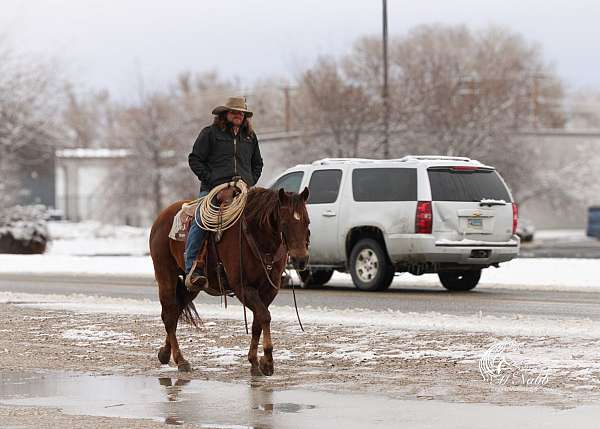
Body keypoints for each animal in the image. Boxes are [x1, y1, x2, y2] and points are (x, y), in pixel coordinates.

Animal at [149, 187, 310, 374]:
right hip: (165, 275)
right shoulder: (243, 287)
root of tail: (162, 216)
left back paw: (165, 353)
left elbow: (257, 322)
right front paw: (267, 361)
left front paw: (254, 362)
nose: (300, 259)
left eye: (307, 222)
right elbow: (264, 316)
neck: (257, 238)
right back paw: (180, 360)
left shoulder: (269, 289)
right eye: (284, 223)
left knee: (175, 311)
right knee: (168, 316)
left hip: (193, 287)